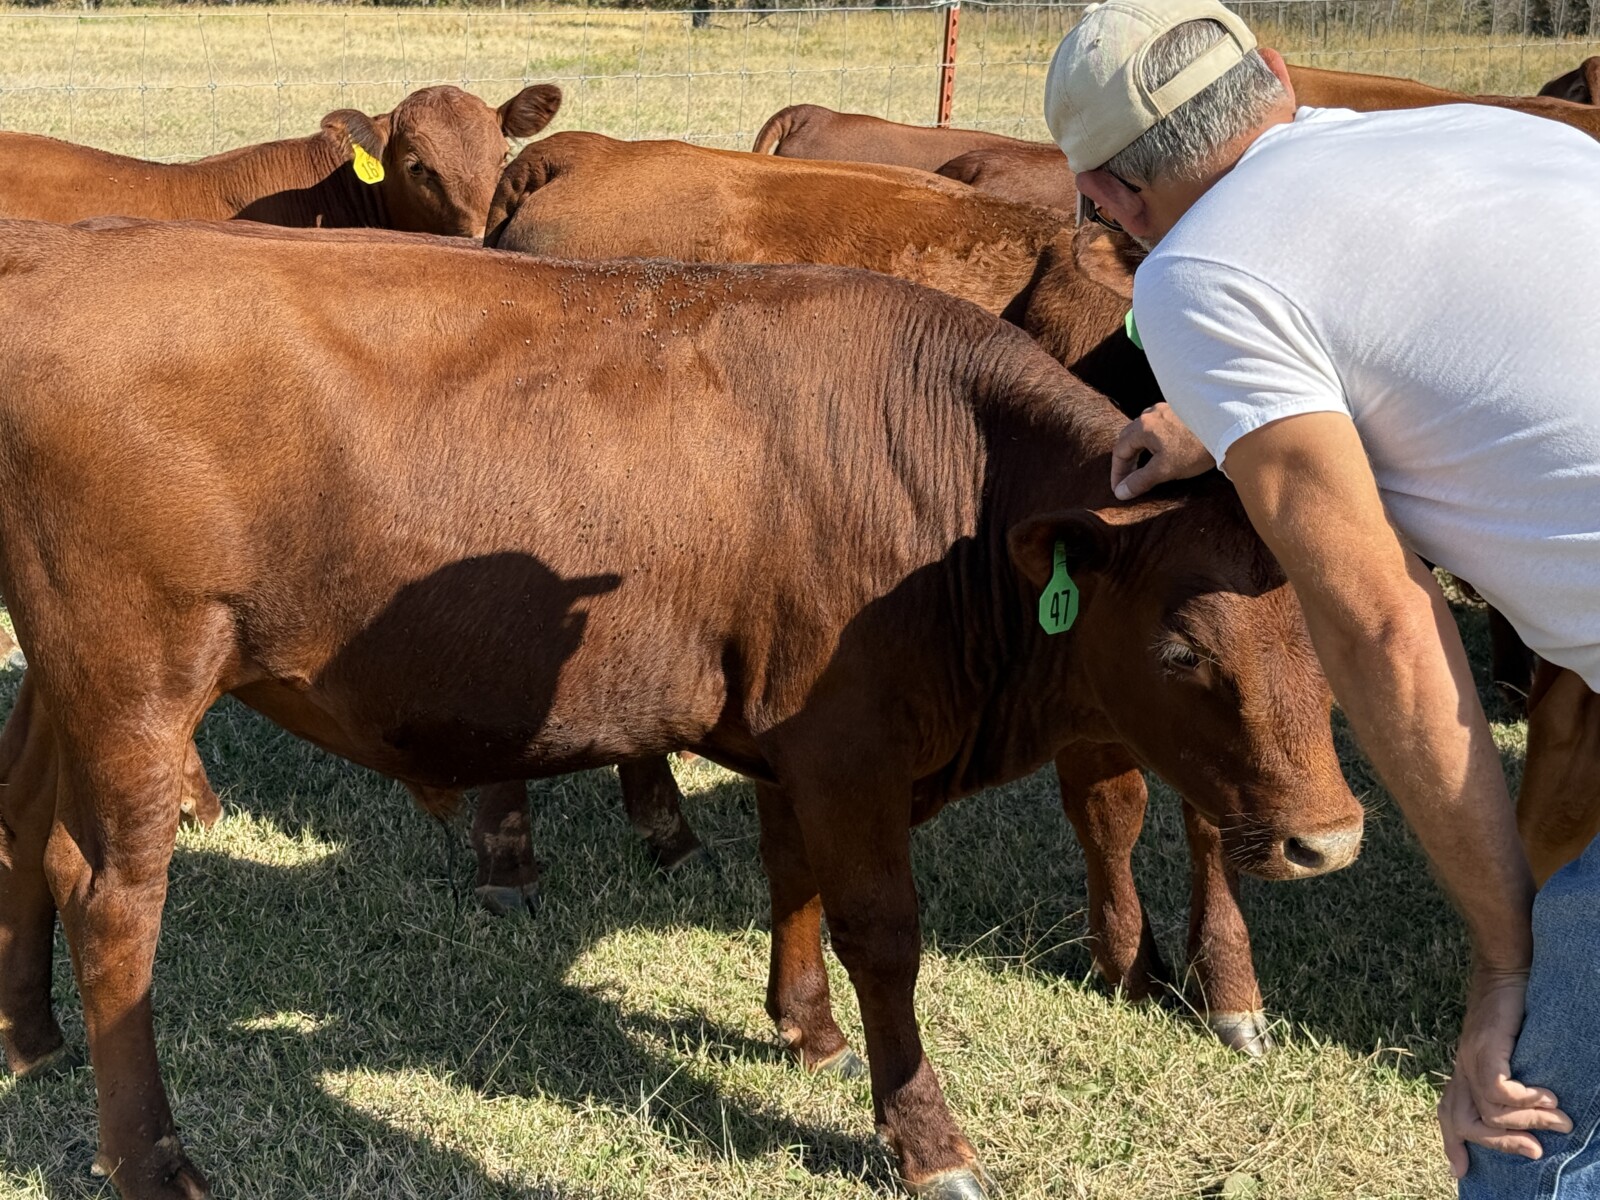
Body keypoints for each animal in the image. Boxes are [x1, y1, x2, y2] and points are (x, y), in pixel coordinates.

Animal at [0, 220, 1363, 1199]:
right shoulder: (851, 746)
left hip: (66, 687)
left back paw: (29, 1036)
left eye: (1329, 636)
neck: (946, 482)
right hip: (137, 684)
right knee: (114, 906)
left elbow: (790, 877)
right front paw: (926, 1141)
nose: (1330, 838)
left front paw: (804, 1029)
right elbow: (883, 933)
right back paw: (153, 1160)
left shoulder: (792, 738)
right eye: (1181, 649)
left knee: (29, 839)